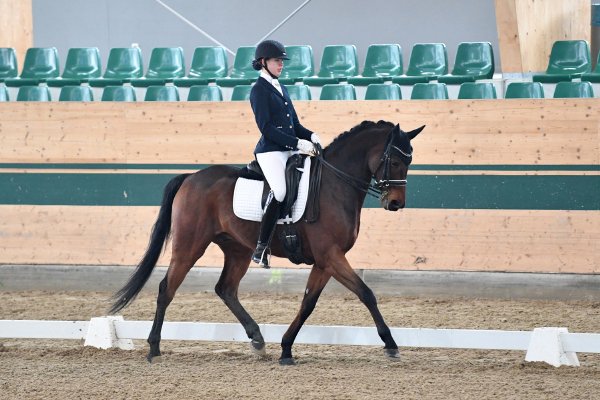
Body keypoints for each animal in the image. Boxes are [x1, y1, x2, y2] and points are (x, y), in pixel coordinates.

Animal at [110, 119, 424, 366]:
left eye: (409, 161)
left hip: (238, 249)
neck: (335, 186)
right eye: (395, 161)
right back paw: (154, 348)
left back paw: (258, 340)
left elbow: (308, 302)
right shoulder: (331, 255)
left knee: (225, 289)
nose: (396, 203)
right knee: (167, 288)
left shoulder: (325, 261)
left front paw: (286, 349)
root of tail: (191, 177)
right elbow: (366, 293)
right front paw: (391, 345)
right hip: (189, 246)